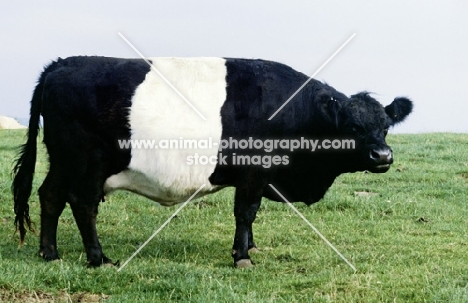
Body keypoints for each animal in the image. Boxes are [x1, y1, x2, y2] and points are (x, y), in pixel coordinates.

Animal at [11, 56, 414, 268]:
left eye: (385, 126)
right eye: (352, 127)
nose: (383, 156)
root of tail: (63, 64)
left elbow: (249, 215)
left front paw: (250, 247)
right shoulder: (255, 170)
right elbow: (246, 212)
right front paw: (242, 256)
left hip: (62, 160)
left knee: (50, 196)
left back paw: (49, 253)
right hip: (87, 161)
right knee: (82, 204)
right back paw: (98, 258)